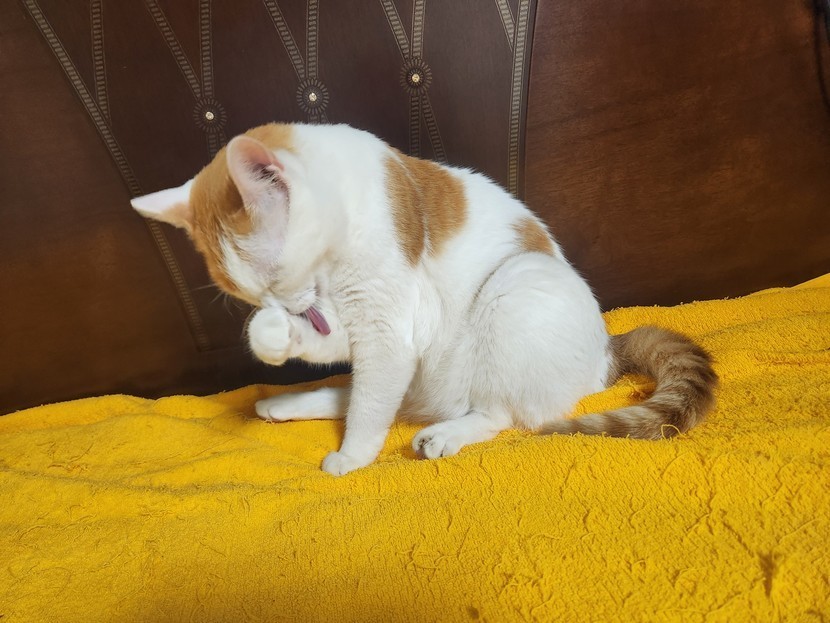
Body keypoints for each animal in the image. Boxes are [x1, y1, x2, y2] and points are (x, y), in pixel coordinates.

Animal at [131, 123, 717, 476]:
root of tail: (606, 349)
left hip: (516, 286)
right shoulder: (355, 325)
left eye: (278, 277)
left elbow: (370, 409)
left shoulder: (387, 328)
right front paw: (271, 334)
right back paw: (284, 403)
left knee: (493, 412)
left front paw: (352, 457)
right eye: (251, 293)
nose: (292, 309)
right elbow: (339, 360)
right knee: (360, 393)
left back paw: (440, 436)